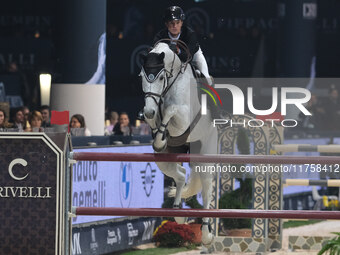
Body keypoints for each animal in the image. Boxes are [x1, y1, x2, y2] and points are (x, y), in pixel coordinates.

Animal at [140, 42, 218, 245]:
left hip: (206, 154)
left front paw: (161, 137)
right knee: (181, 174)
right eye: (142, 76)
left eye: (160, 77)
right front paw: (158, 138)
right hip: (165, 159)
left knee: (207, 189)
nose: (149, 111)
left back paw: (206, 234)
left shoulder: (183, 120)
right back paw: (178, 212)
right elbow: (156, 120)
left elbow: (171, 110)